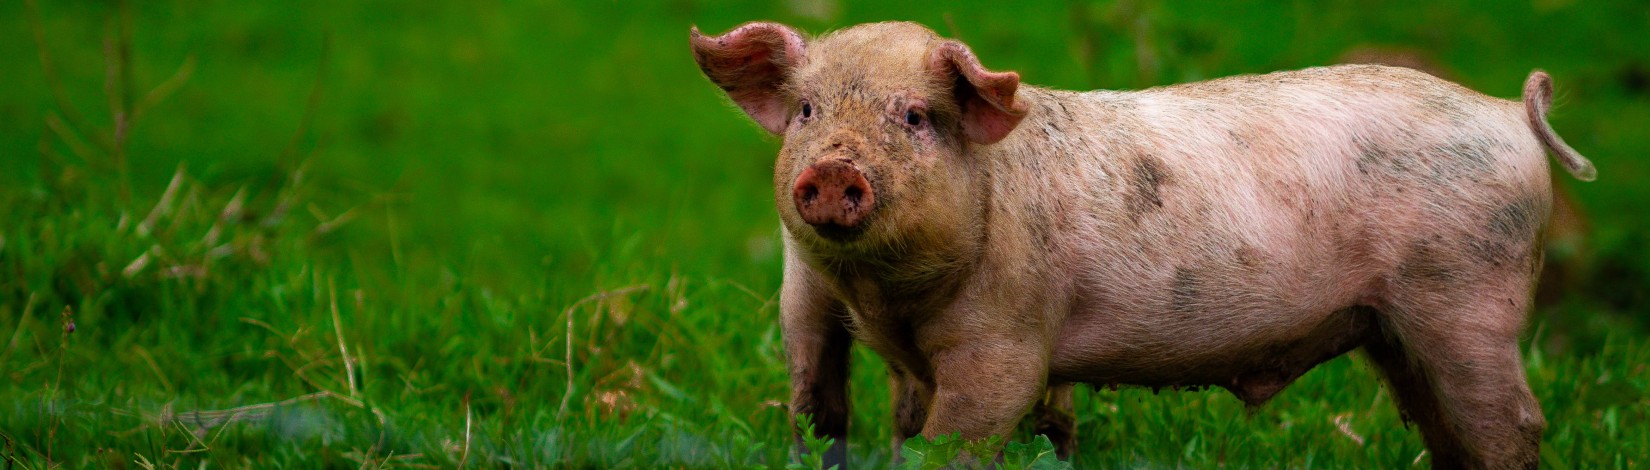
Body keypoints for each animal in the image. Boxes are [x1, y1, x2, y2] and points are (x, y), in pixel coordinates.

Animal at [689, 20, 1590, 465]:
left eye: (914, 116)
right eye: (808, 111)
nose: (834, 170)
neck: (884, 298)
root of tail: (1508, 113)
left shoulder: (1006, 336)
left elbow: (958, 435)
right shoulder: (803, 294)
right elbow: (817, 404)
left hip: (1469, 296)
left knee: (1513, 424)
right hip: (1401, 326)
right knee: (1446, 425)